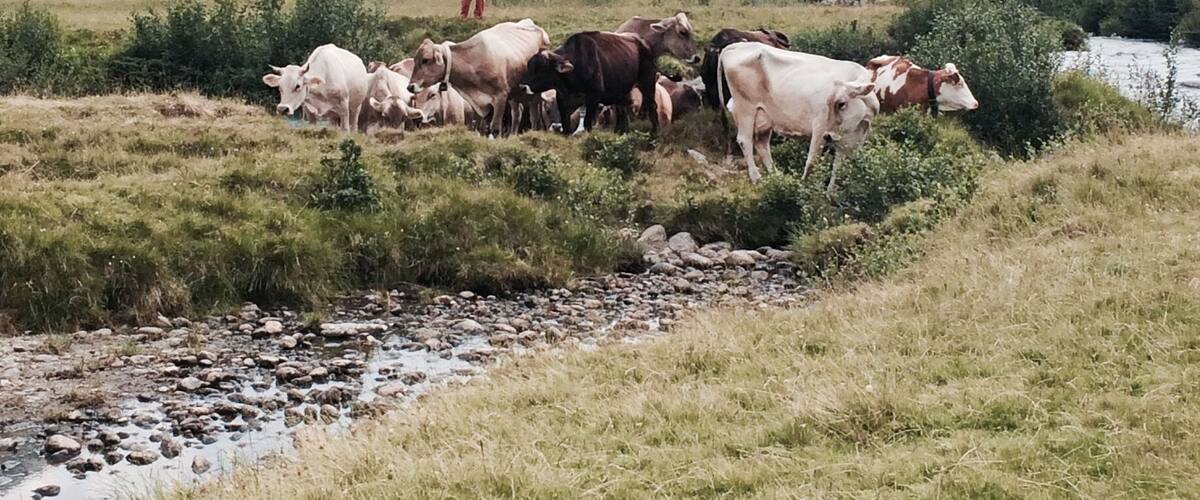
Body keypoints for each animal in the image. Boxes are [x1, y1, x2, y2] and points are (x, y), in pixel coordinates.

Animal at [408, 18, 550, 136]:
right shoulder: (480, 104)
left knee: (534, 115)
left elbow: (495, 128)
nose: (410, 87)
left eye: (425, 60)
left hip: (534, 93)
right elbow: (482, 127)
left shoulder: (501, 96)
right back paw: (513, 135)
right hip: (515, 94)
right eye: (415, 60)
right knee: (517, 113)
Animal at [515, 31, 660, 135]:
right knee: (621, 112)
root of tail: (643, 42)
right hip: (621, 91)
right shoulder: (562, 99)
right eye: (529, 66)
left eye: (542, 68)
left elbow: (587, 122)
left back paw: (655, 132)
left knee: (652, 105)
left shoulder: (593, 98)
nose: (522, 87)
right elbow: (566, 125)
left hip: (648, 81)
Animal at [718, 42, 879, 189]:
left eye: (841, 104)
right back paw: (757, 178)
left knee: (762, 144)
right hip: (745, 108)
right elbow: (812, 161)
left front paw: (831, 193)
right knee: (744, 140)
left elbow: (839, 166)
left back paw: (777, 178)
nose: (828, 136)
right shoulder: (819, 127)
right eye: (829, 103)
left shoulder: (852, 139)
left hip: (763, 117)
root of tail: (736, 46)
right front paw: (806, 187)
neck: (859, 124)